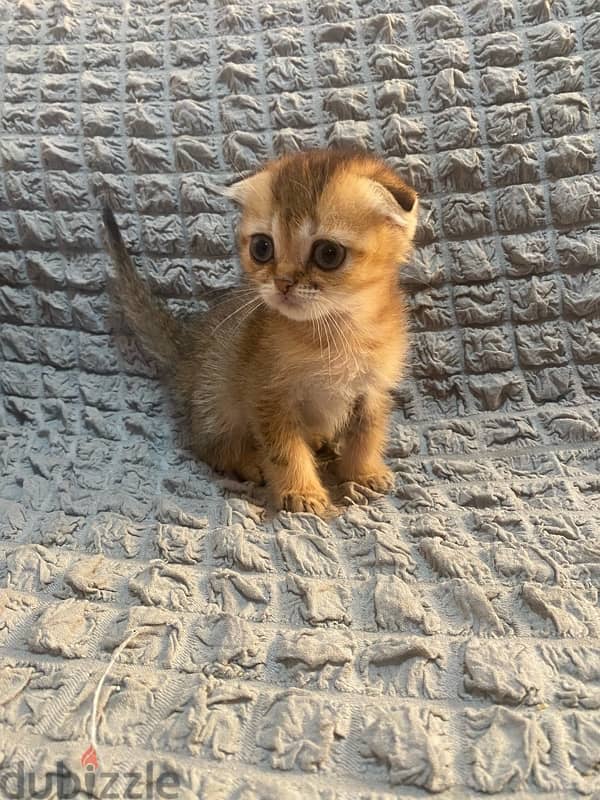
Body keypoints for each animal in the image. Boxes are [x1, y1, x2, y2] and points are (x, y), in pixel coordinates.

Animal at [103, 147, 420, 516]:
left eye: (328, 253)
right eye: (262, 248)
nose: (282, 282)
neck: (335, 333)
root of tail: (188, 354)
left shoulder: (372, 391)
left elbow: (366, 434)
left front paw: (362, 473)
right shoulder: (268, 396)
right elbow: (284, 449)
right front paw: (301, 492)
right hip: (216, 398)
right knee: (208, 446)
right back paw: (249, 462)